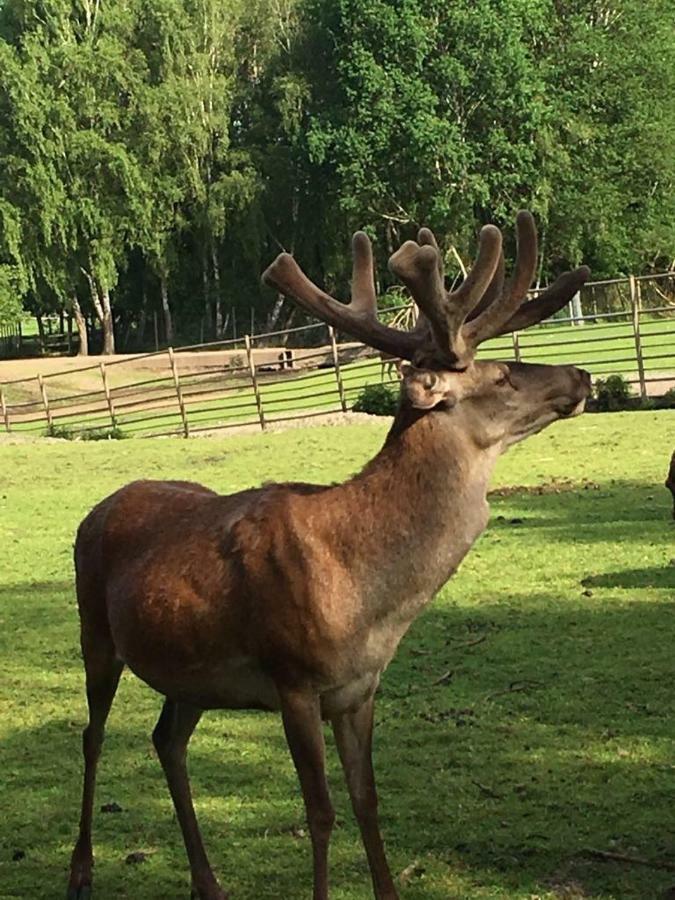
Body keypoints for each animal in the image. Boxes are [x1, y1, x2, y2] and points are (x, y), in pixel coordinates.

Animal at [66, 213, 588, 900]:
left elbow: (367, 801)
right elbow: (320, 810)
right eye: (501, 374)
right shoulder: (293, 679)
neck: (370, 601)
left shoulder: (359, 687)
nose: (581, 377)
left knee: (165, 740)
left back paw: (208, 881)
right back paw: (81, 871)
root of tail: (94, 510)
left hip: (191, 673)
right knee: (92, 736)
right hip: (95, 634)